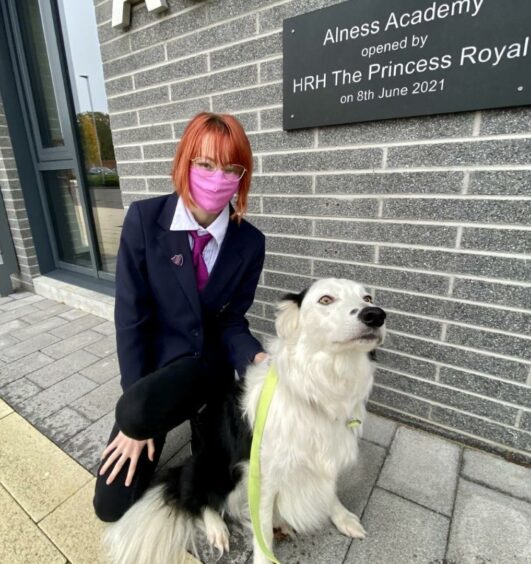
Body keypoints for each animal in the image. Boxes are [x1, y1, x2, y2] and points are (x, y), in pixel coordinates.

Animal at [104, 278, 386, 564]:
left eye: (368, 298)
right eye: (325, 299)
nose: (375, 315)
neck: (319, 387)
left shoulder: (328, 454)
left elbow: (330, 493)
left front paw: (343, 517)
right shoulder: (262, 475)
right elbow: (262, 532)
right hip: (209, 465)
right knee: (197, 499)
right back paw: (217, 528)